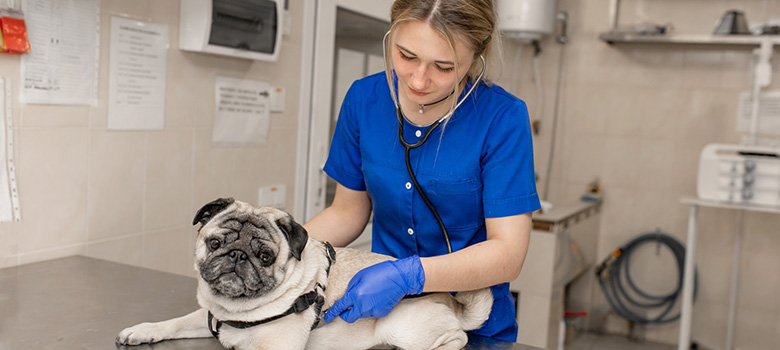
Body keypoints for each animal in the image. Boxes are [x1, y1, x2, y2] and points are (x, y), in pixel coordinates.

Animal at [116, 198, 490, 348]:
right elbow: (172, 323)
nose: (237, 255)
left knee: (458, 339)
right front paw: (142, 331)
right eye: (215, 243)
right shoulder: (210, 316)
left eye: (265, 256)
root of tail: (450, 300)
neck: (237, 310)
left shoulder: (275, 347)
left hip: (403, 327)